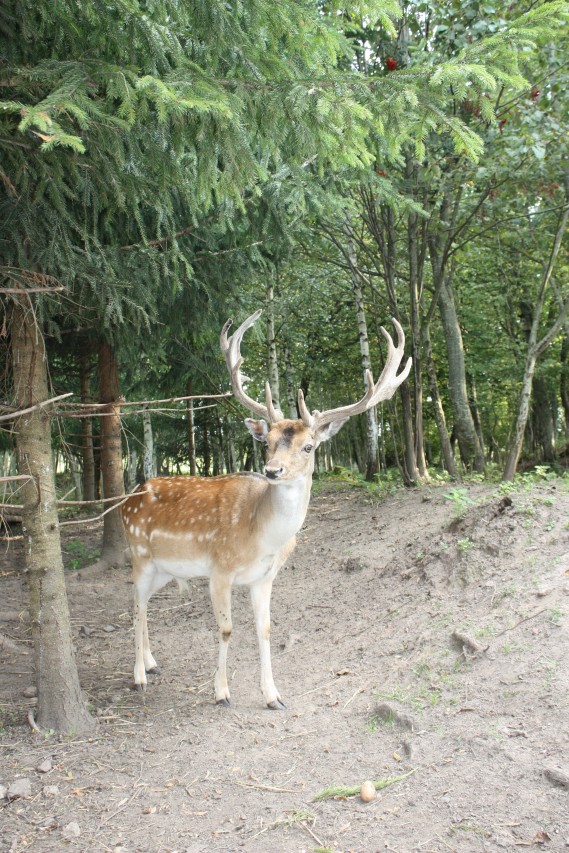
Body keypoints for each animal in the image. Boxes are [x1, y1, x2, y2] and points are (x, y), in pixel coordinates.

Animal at [122, 310, 410, 708]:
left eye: (308, 447)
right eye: (267, 442)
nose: (272, 471)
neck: (261, 536)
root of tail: (128, 496)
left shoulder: (265, 577)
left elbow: (266, 629)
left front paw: (273, 695)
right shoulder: (220, 569)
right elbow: (227, 629)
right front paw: (221, 693)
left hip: (165, 568)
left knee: (145, 605)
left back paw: (151, 663)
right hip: (139, 553)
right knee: (134, 605)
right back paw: (138, 676)